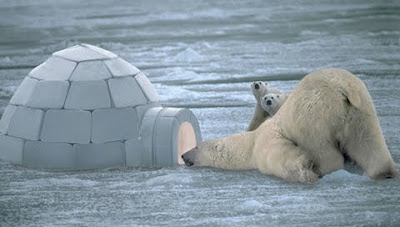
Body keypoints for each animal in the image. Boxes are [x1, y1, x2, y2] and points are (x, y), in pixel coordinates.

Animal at [183, 68, 398, 184]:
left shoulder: (265, 141)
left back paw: (323, 169)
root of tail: (342, 87)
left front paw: (305, 168)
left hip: (313, 113)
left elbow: (280, 156)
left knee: (321, 147)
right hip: (361, 110)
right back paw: (383, 172)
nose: (183, 155)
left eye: (196, 146)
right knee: (368, 141)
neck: (249, 143)